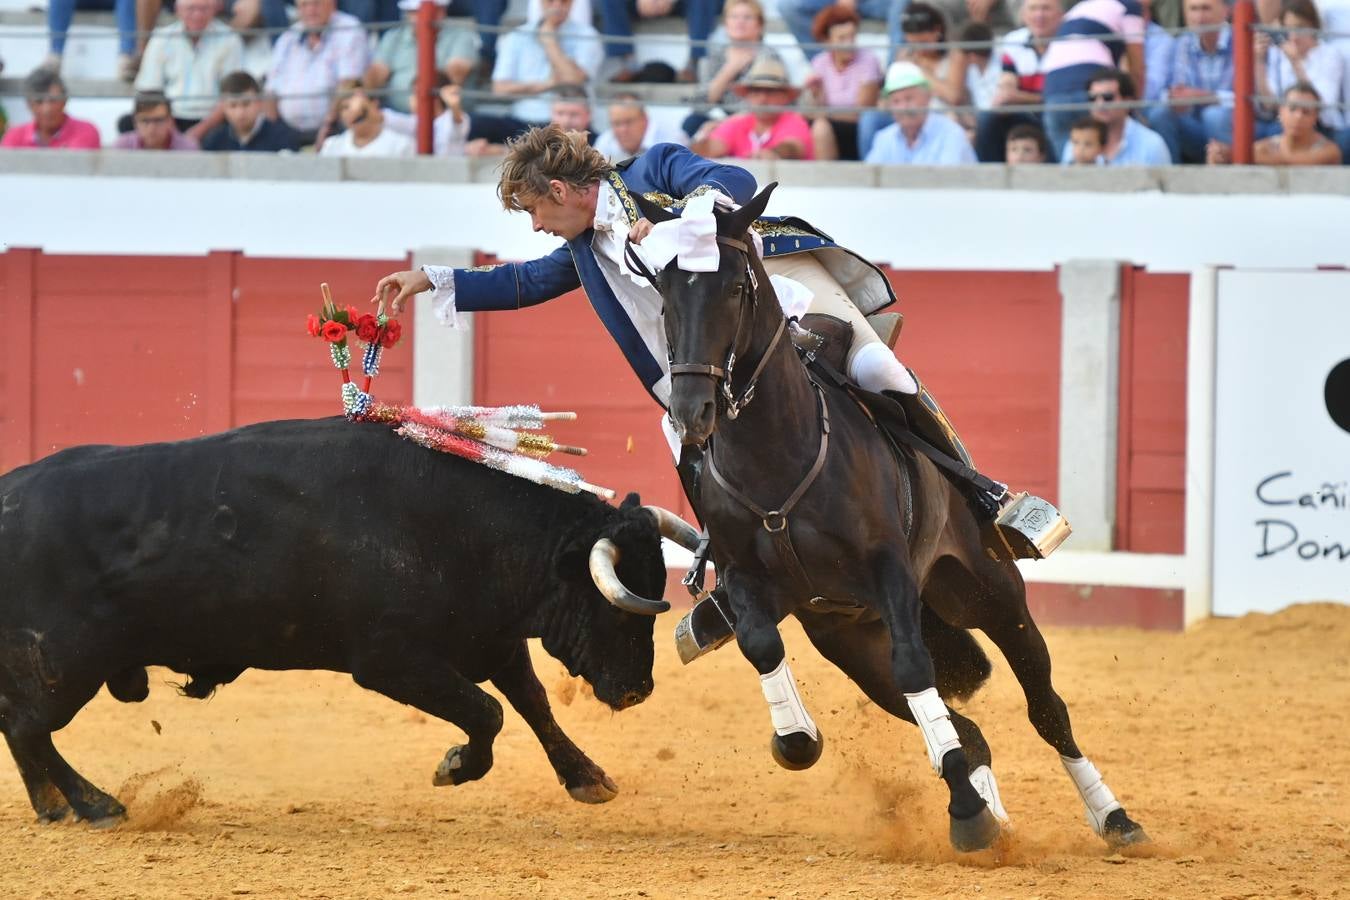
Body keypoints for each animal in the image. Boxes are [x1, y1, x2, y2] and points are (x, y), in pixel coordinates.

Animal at [0, 415, 675, 825]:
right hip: (65, 663)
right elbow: (489, 712)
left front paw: (588, 777)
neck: (465, 525)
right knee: (31, 726)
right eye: (613, 608)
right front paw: (455, 766)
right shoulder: (390, 661)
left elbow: (532, 703)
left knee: (18, 724)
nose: (638, 690)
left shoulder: (491, 639)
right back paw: (96, 805)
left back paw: (53, 806)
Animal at [637, 184, 1144, 852]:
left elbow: (917, 667)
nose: (692, 410)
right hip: (854, 642)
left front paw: (968, 815)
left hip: (990, 591)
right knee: (968, 728)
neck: (775, 454)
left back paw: (1114, 818)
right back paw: (996, 813)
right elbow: (762, 646)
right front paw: (798, 737)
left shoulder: (890, 573)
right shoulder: (749, 578)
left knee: (1046, 708)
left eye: (735, 289)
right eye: (665, 292)